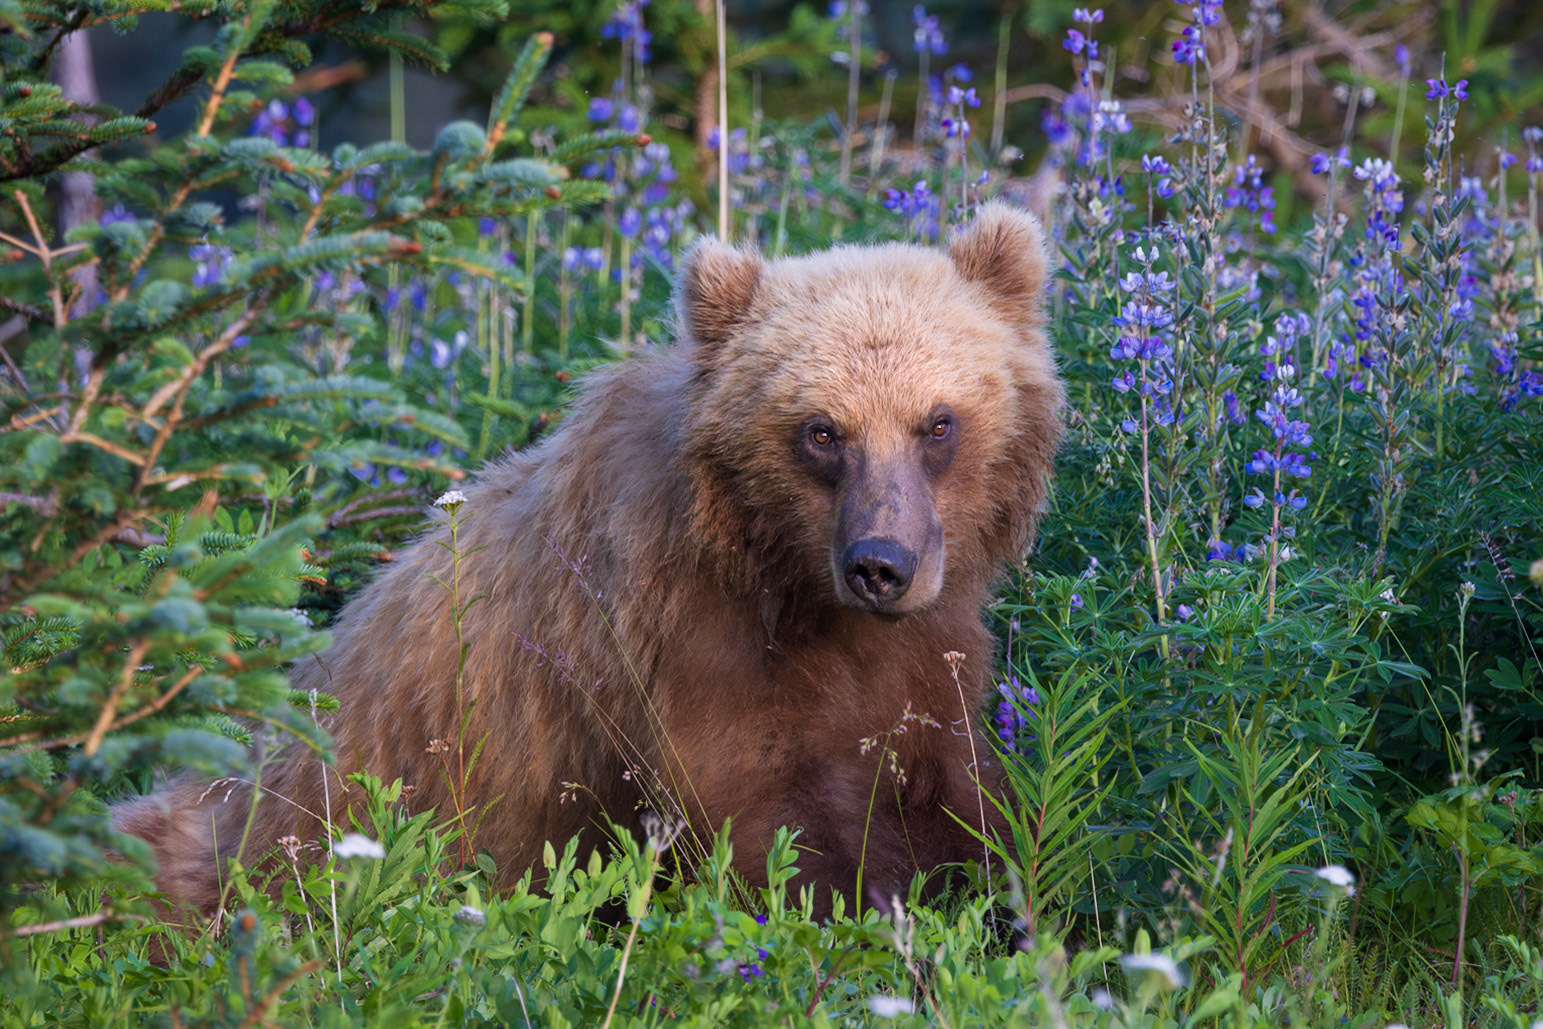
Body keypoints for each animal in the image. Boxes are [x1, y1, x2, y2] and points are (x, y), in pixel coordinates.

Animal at [114, 202, 1066, 928]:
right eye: (821, 430)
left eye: (937, 421)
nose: (881, 564)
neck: (794, 586)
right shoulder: (678, 648)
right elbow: (773, 827)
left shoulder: (924, 659)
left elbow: (966, 800)